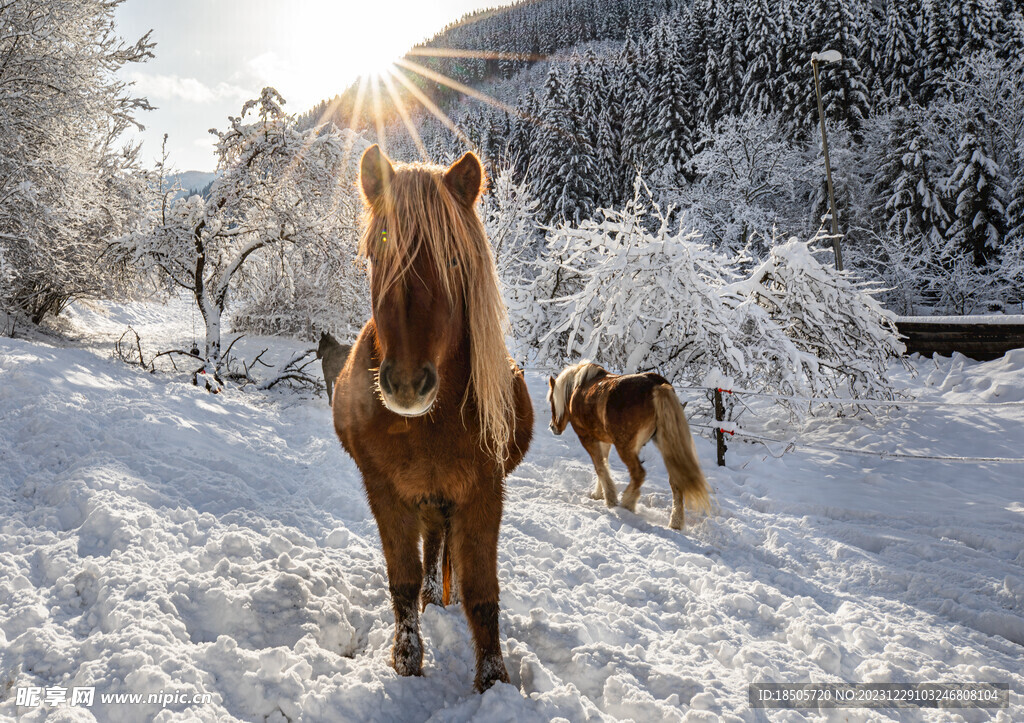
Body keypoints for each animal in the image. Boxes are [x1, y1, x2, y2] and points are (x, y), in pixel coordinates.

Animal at [333, 143, 536, 688]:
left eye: (453, 258)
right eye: (376, 252)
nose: (406, 384)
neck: (428, 425)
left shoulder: (484, 492)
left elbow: (482, 593)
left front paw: (493, 680)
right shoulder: (385, 491)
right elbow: (401, 579)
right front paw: (406, 660)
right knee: (430, 551)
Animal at [548, 360, 708, 528]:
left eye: (552, 400)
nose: (553, 427)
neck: (578, 389)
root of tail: (657, 386)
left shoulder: (586, 437)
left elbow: (599, 467)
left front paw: (610, 498)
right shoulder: (603, 440)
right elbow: (604, 464)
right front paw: (599, 494)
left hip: (625, 448)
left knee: (638, 474)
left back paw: (627, 503)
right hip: (666, 445)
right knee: (675, 481)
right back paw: (675, 522)